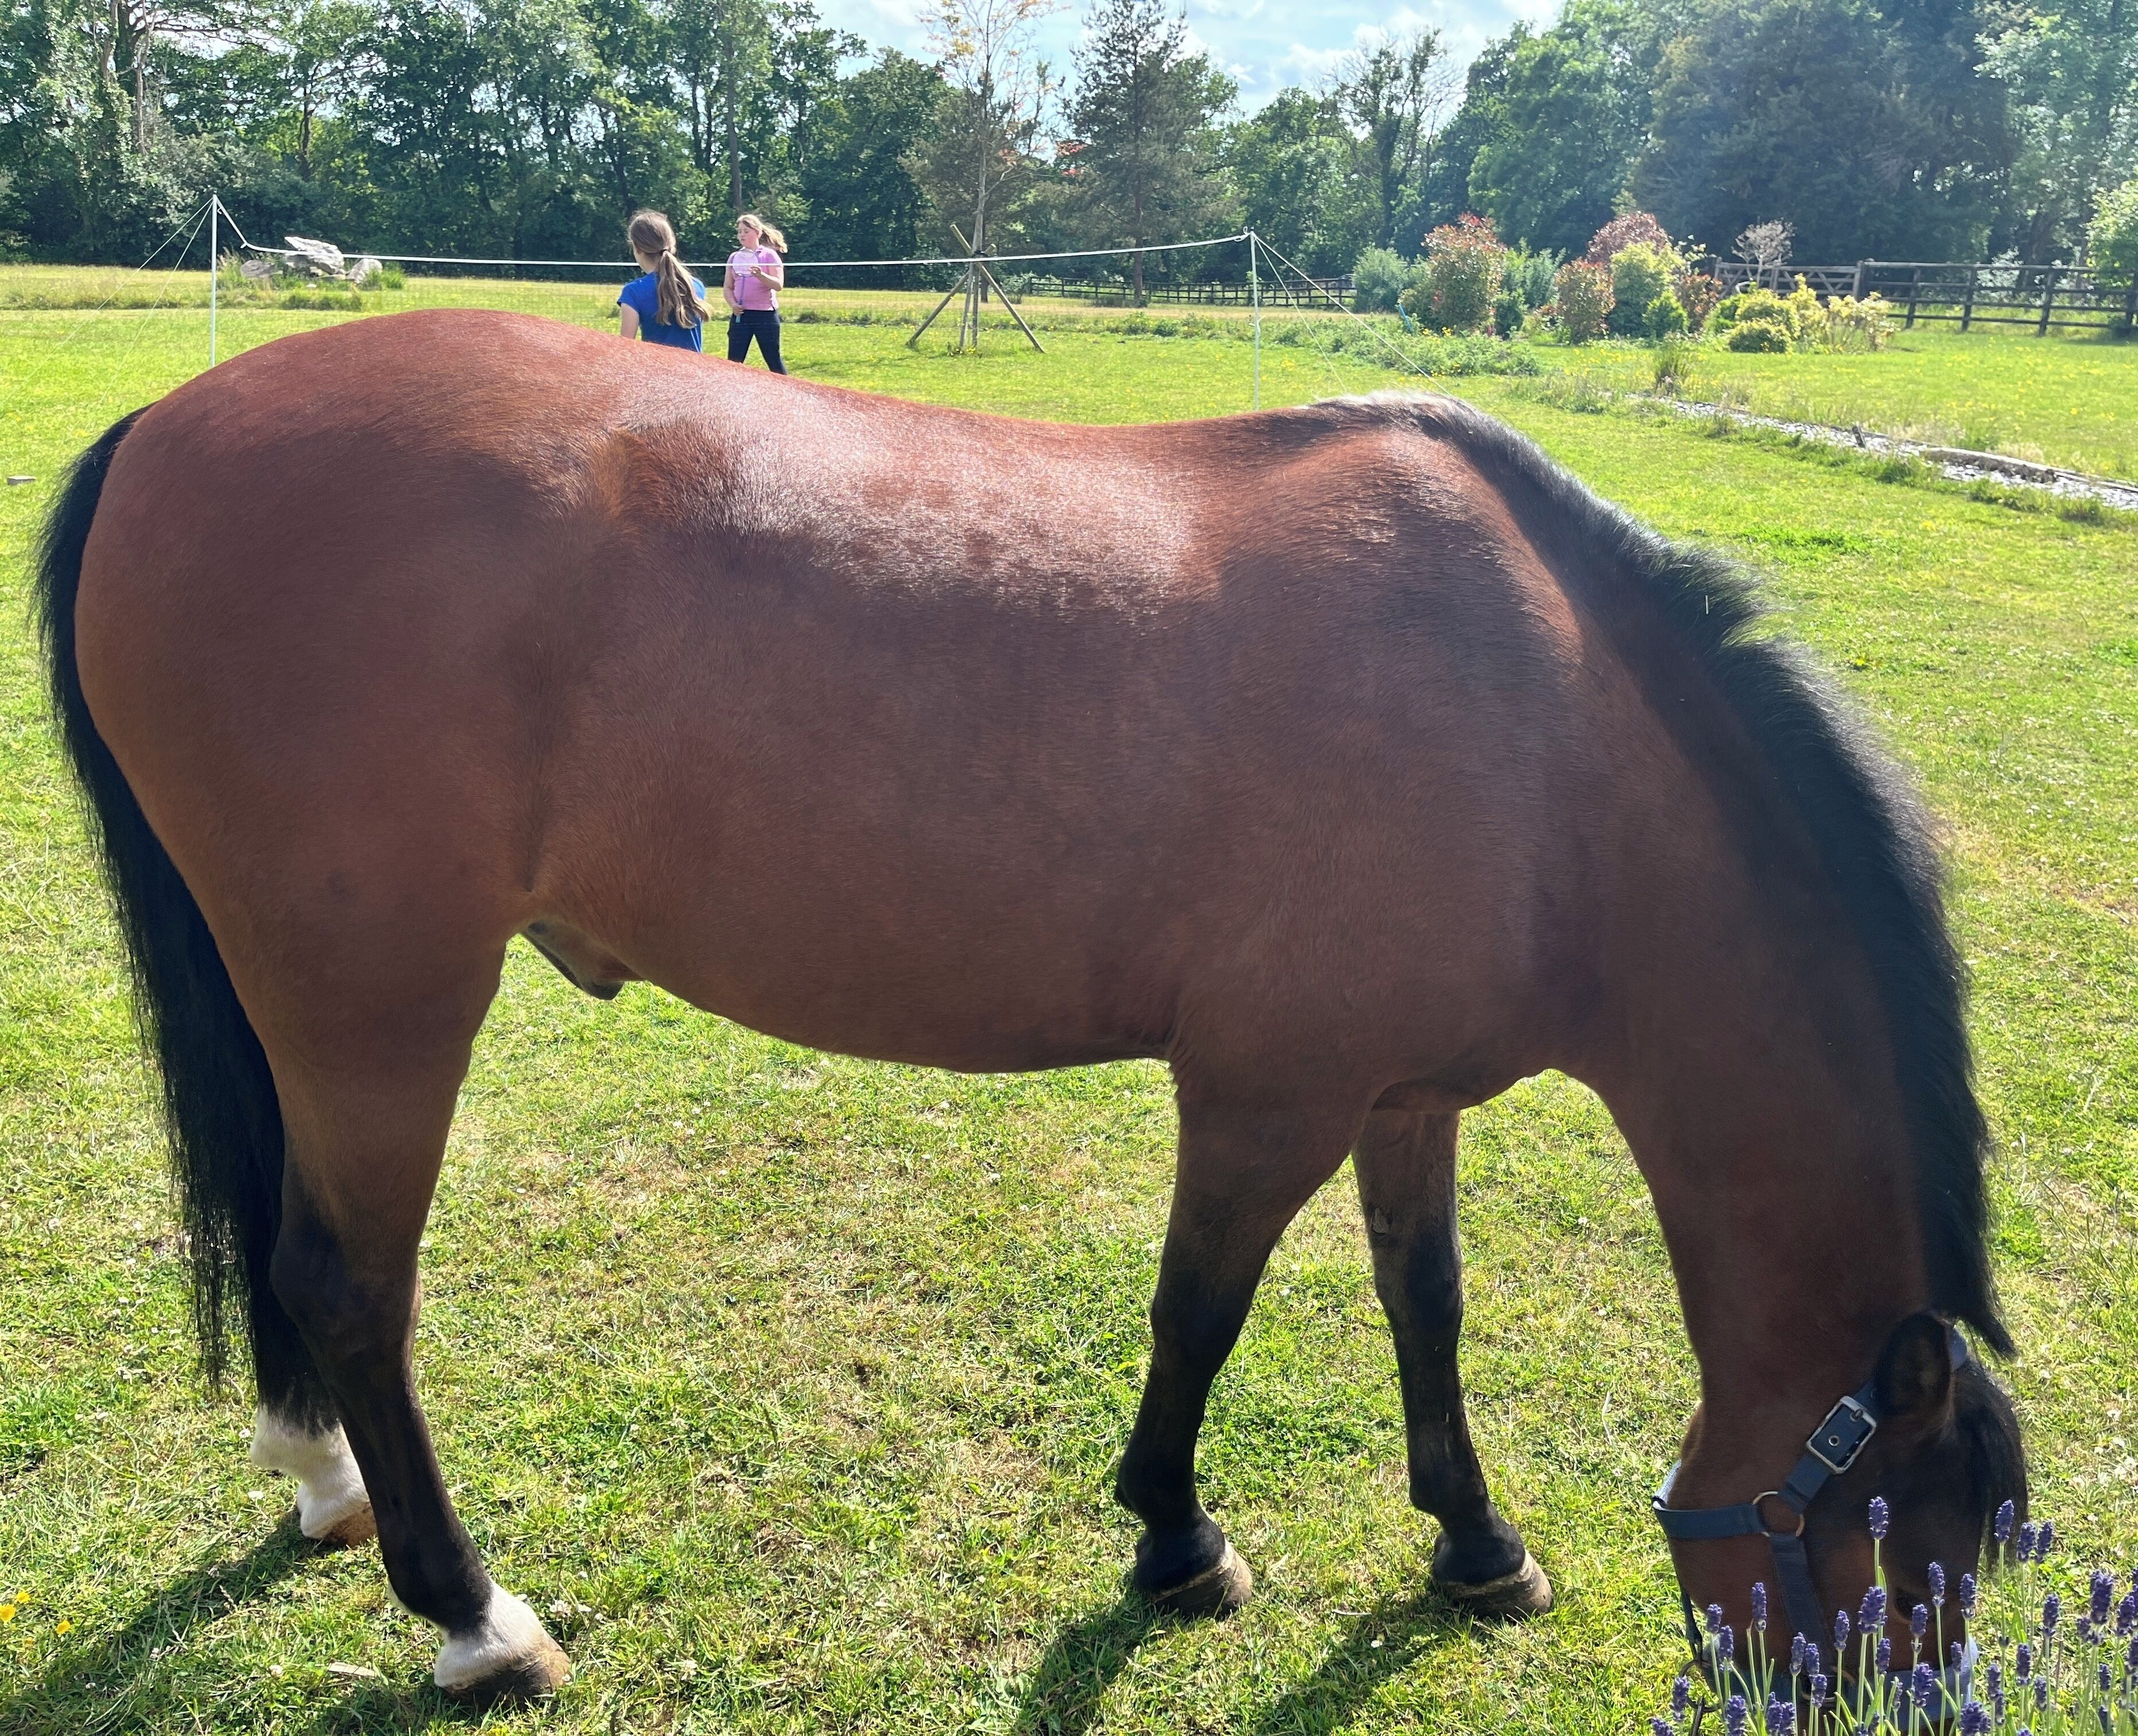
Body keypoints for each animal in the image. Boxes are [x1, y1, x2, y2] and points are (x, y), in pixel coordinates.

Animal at [38, 309, 2025, 1701]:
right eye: (1902, 1568)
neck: (1544, 729)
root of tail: (164, 430)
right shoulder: (1263, 1098)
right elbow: (1196, 1318)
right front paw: (1177, 1542)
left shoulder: (1402, 1098)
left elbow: (1426, 1310)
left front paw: (1472, 1544)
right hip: (380, 1003)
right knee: (347, 1285)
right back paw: (473, 1619)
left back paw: (325, 1486)